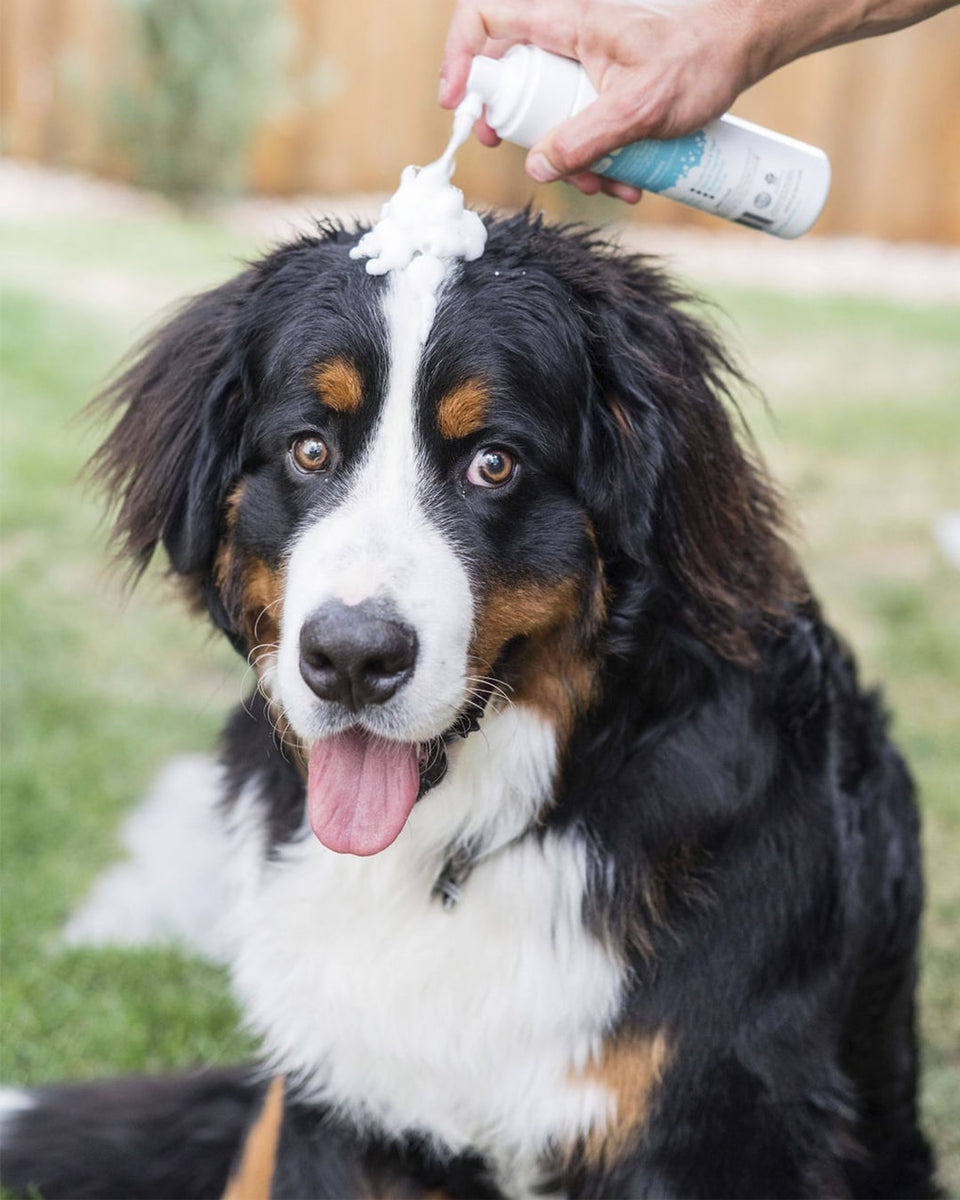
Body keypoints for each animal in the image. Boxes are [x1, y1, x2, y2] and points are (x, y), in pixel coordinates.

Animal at [0, 211, 936, 1195]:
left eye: (494, 463)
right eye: (309, 448)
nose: (351, 657)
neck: (467, 840)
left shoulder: (720, 1123)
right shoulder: (343, 1103)